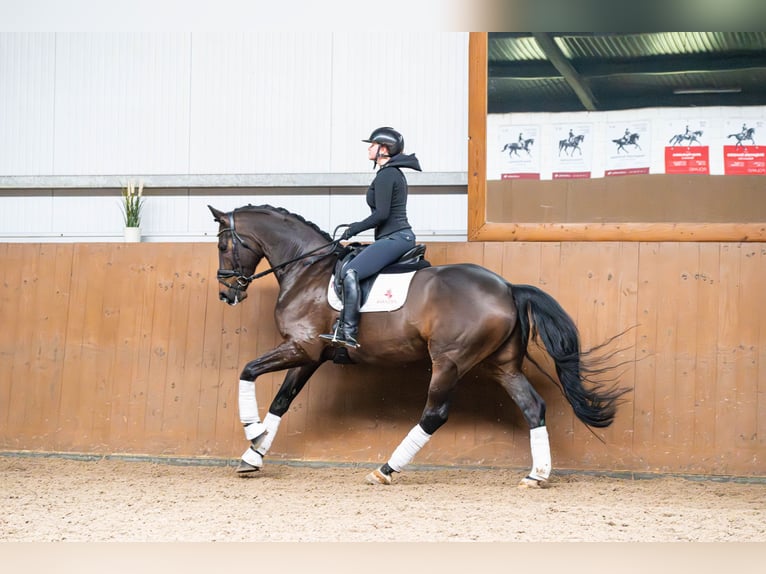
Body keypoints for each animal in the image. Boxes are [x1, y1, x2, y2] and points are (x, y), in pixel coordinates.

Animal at [209, 204, 630, 488]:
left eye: (224, 244)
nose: (226, 293)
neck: (307, 270)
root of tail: (508, 288)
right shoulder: (309, 354)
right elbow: (282, 401)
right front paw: (253, 454)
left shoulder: (302, 348)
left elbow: (248, 371)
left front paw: (251, 430)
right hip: (502, 365)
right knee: (533, 407)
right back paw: (536, 475)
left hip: (450, 361)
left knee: (435, 414)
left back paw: (385, 469)